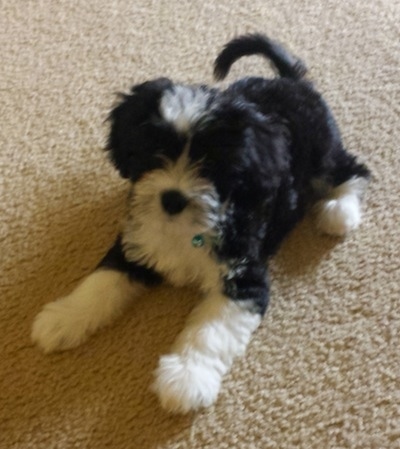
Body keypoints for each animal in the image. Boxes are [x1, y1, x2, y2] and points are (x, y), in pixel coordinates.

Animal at [32, 34, 370, 412]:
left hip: (321, 150)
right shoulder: (136, 243)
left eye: (210, 164)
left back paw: (339, 211)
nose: (172, 199)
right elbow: (101, 281)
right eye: (153, 151)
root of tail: (290, 80)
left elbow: (210, 332)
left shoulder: (243, 279)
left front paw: (186, 378)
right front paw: (63, 317)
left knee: (351, 169)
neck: (188, 228)